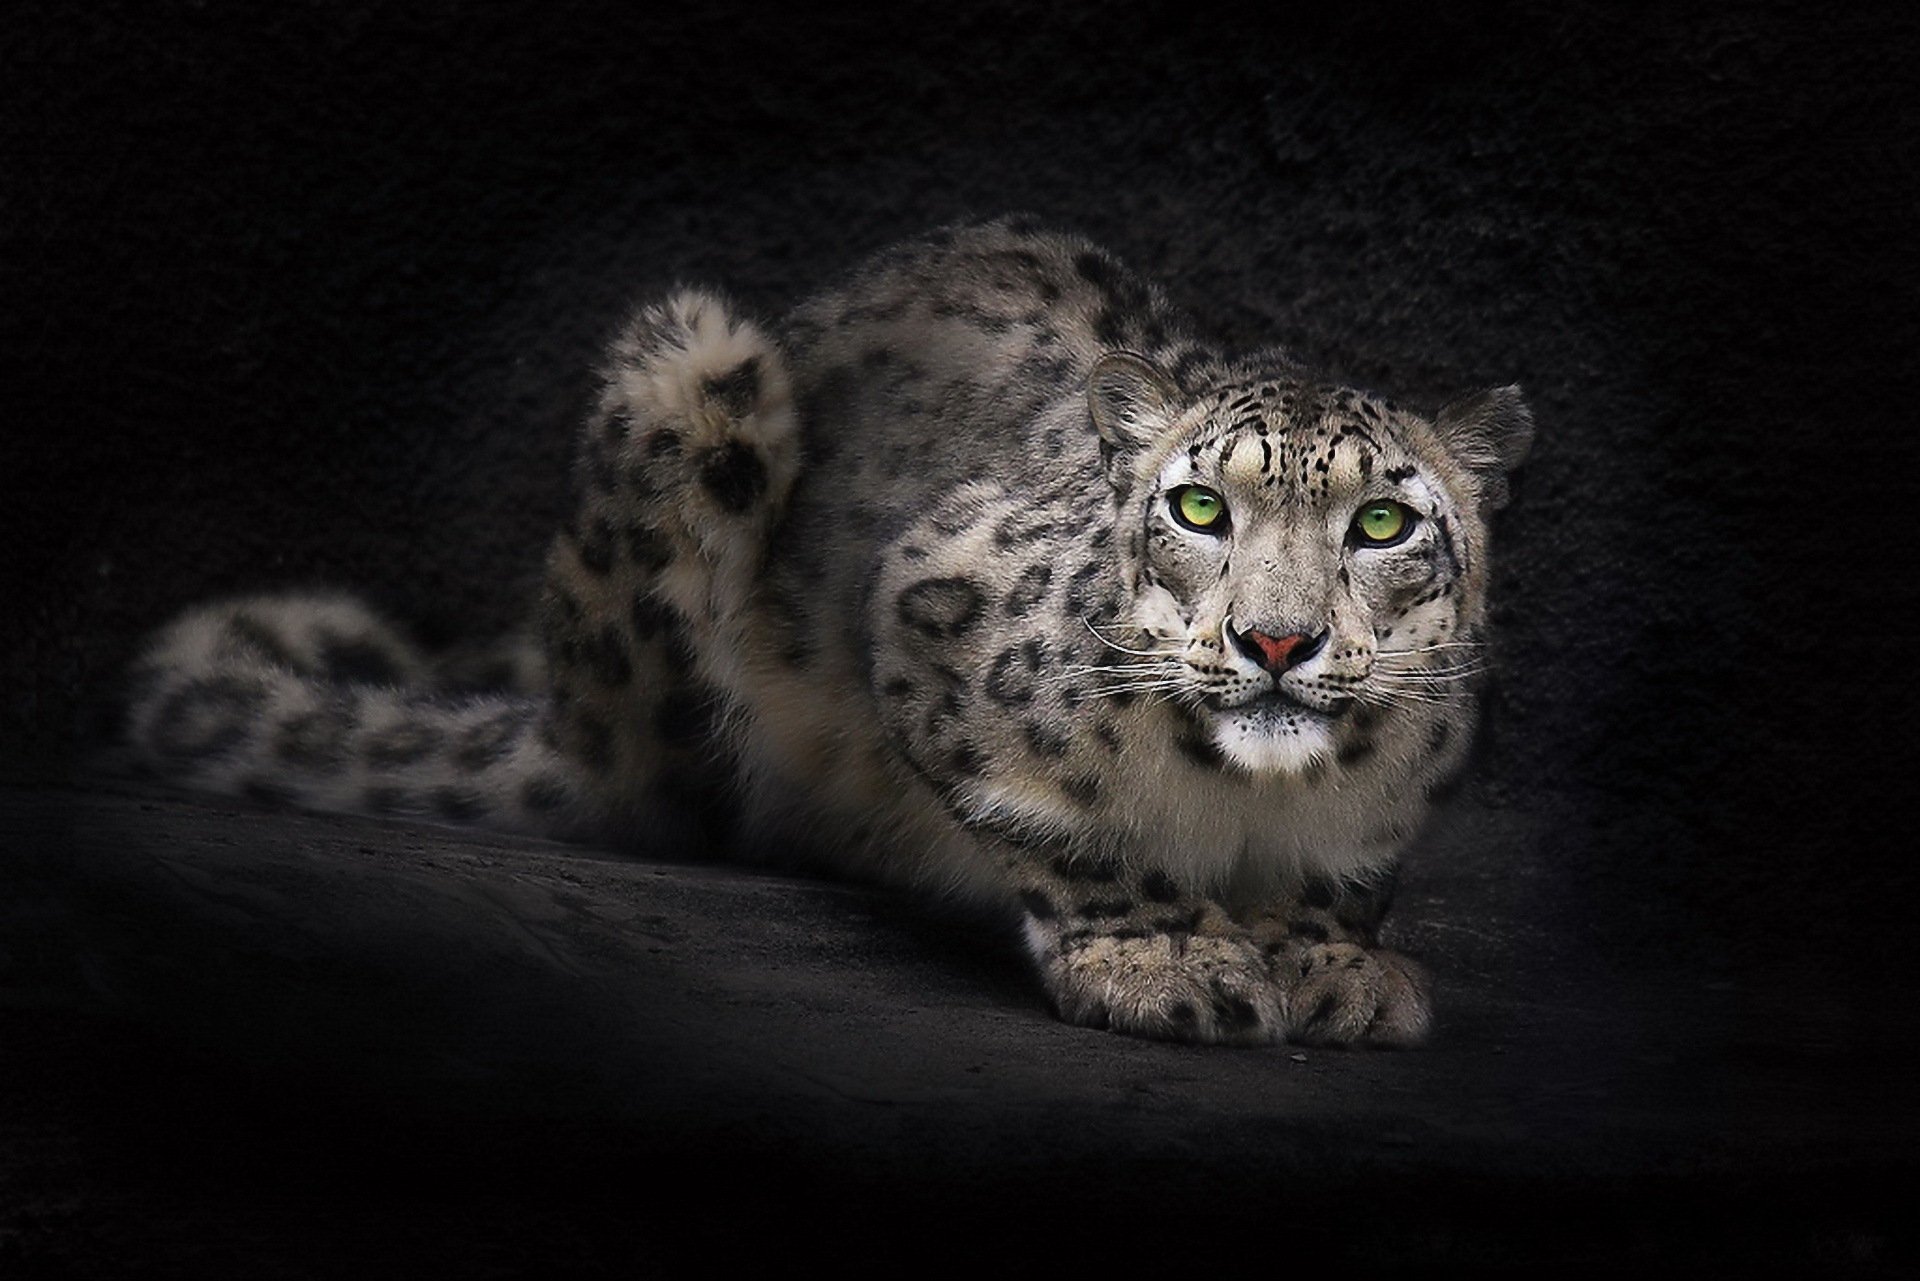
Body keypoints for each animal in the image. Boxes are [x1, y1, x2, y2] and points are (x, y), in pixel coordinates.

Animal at [125, 216, 1532, 1047]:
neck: (1250, 802)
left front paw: (1332, 964)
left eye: (1383, 524)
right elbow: (1061, 828)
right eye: (1198, 506)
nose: (1275, 644)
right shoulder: (929, 608)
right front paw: (1167, 956)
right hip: (692, 382)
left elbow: (1346, 874)